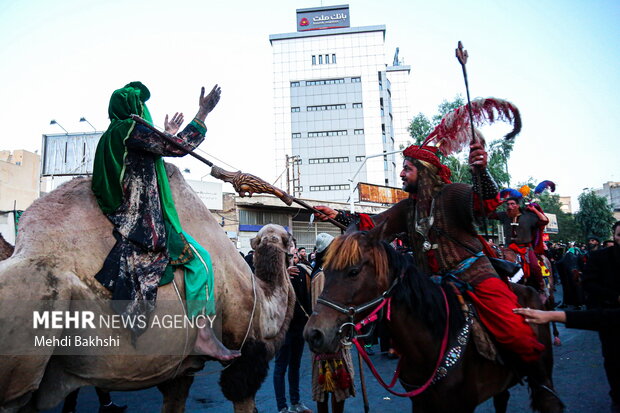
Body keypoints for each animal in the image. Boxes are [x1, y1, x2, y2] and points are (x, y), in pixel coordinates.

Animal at [302, 229, 564, 412]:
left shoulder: (461, 406)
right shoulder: (421, 403)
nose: (313, 334)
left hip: (544, 375)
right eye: (326, 270)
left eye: (354, 271)